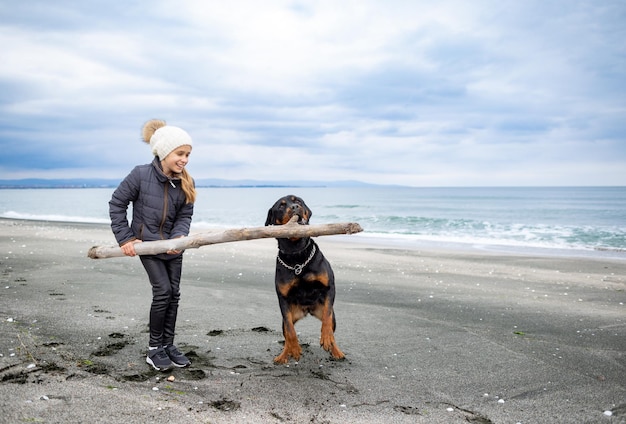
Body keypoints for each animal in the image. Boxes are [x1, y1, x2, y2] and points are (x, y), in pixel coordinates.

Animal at [262, 195, 344, 364]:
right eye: (281, 206)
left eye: (298, 201)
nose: (294, 207)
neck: (296, 254)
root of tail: (307, 310)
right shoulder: (283, 298)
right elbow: (290, 330)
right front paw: (294, 349)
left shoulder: (329, 287)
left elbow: (327, 318)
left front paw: (326, 339)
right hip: (290, 314)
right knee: (286, 332)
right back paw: (284, 355)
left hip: (329, 314)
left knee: (330, 324)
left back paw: (336, 351)